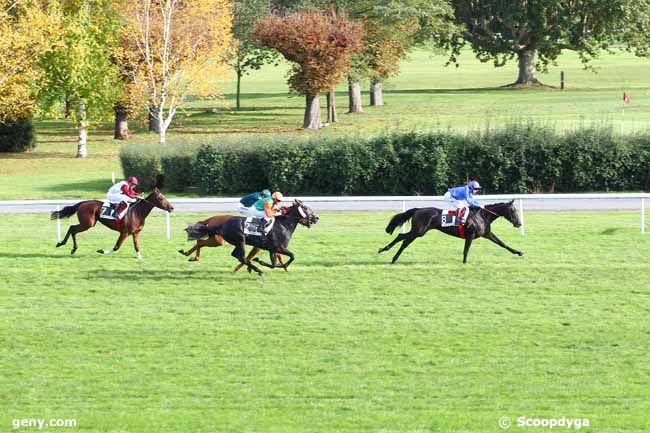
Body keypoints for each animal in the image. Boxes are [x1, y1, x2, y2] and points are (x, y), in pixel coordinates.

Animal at [184, 198, 318, 274]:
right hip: (239, 240)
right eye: (306, 208)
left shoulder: (272, 249)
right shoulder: (278, 247)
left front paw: (263, 262)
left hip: (232, 242)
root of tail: (221, 225)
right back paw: (259, 271)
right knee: (241, 257)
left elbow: (274, 263)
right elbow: (292, 256)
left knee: (235, 255)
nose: (317, 218)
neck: (283, 225)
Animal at [380, 200, 520, 264]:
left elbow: (502, 244)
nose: (519, 223)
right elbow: (466, 250)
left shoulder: (486, 234)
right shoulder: (470, 235)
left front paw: (518, 252)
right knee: (402, 238)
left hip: (418, 231)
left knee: (404, 240)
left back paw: (391, 256)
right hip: (419, 231)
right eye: (513, 211)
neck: (482, 216)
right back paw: (386, 251)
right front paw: (464, 263)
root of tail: (418, 209)